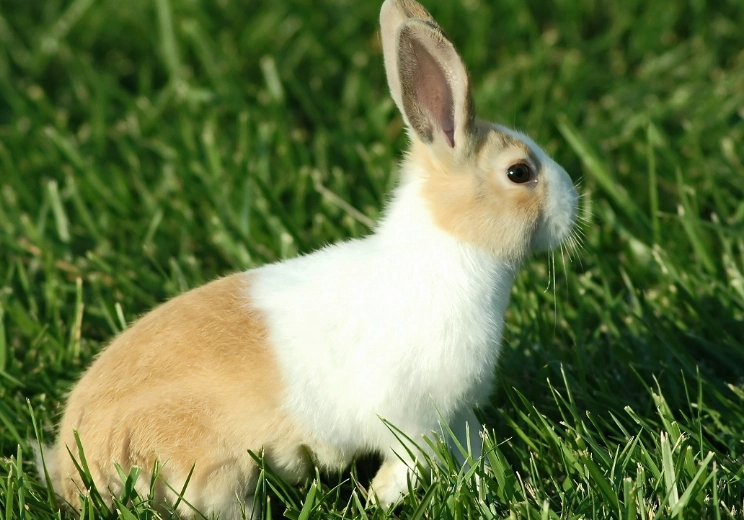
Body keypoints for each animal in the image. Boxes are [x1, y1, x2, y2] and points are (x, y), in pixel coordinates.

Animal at [42, 0, 578, 517]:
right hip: (213, 475)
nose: (575, 206)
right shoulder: (414, 420)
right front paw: (379, 500)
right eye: (519, 172)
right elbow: (409, 464)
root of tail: (74, 466)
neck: (450, 248)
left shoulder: (456, 415)